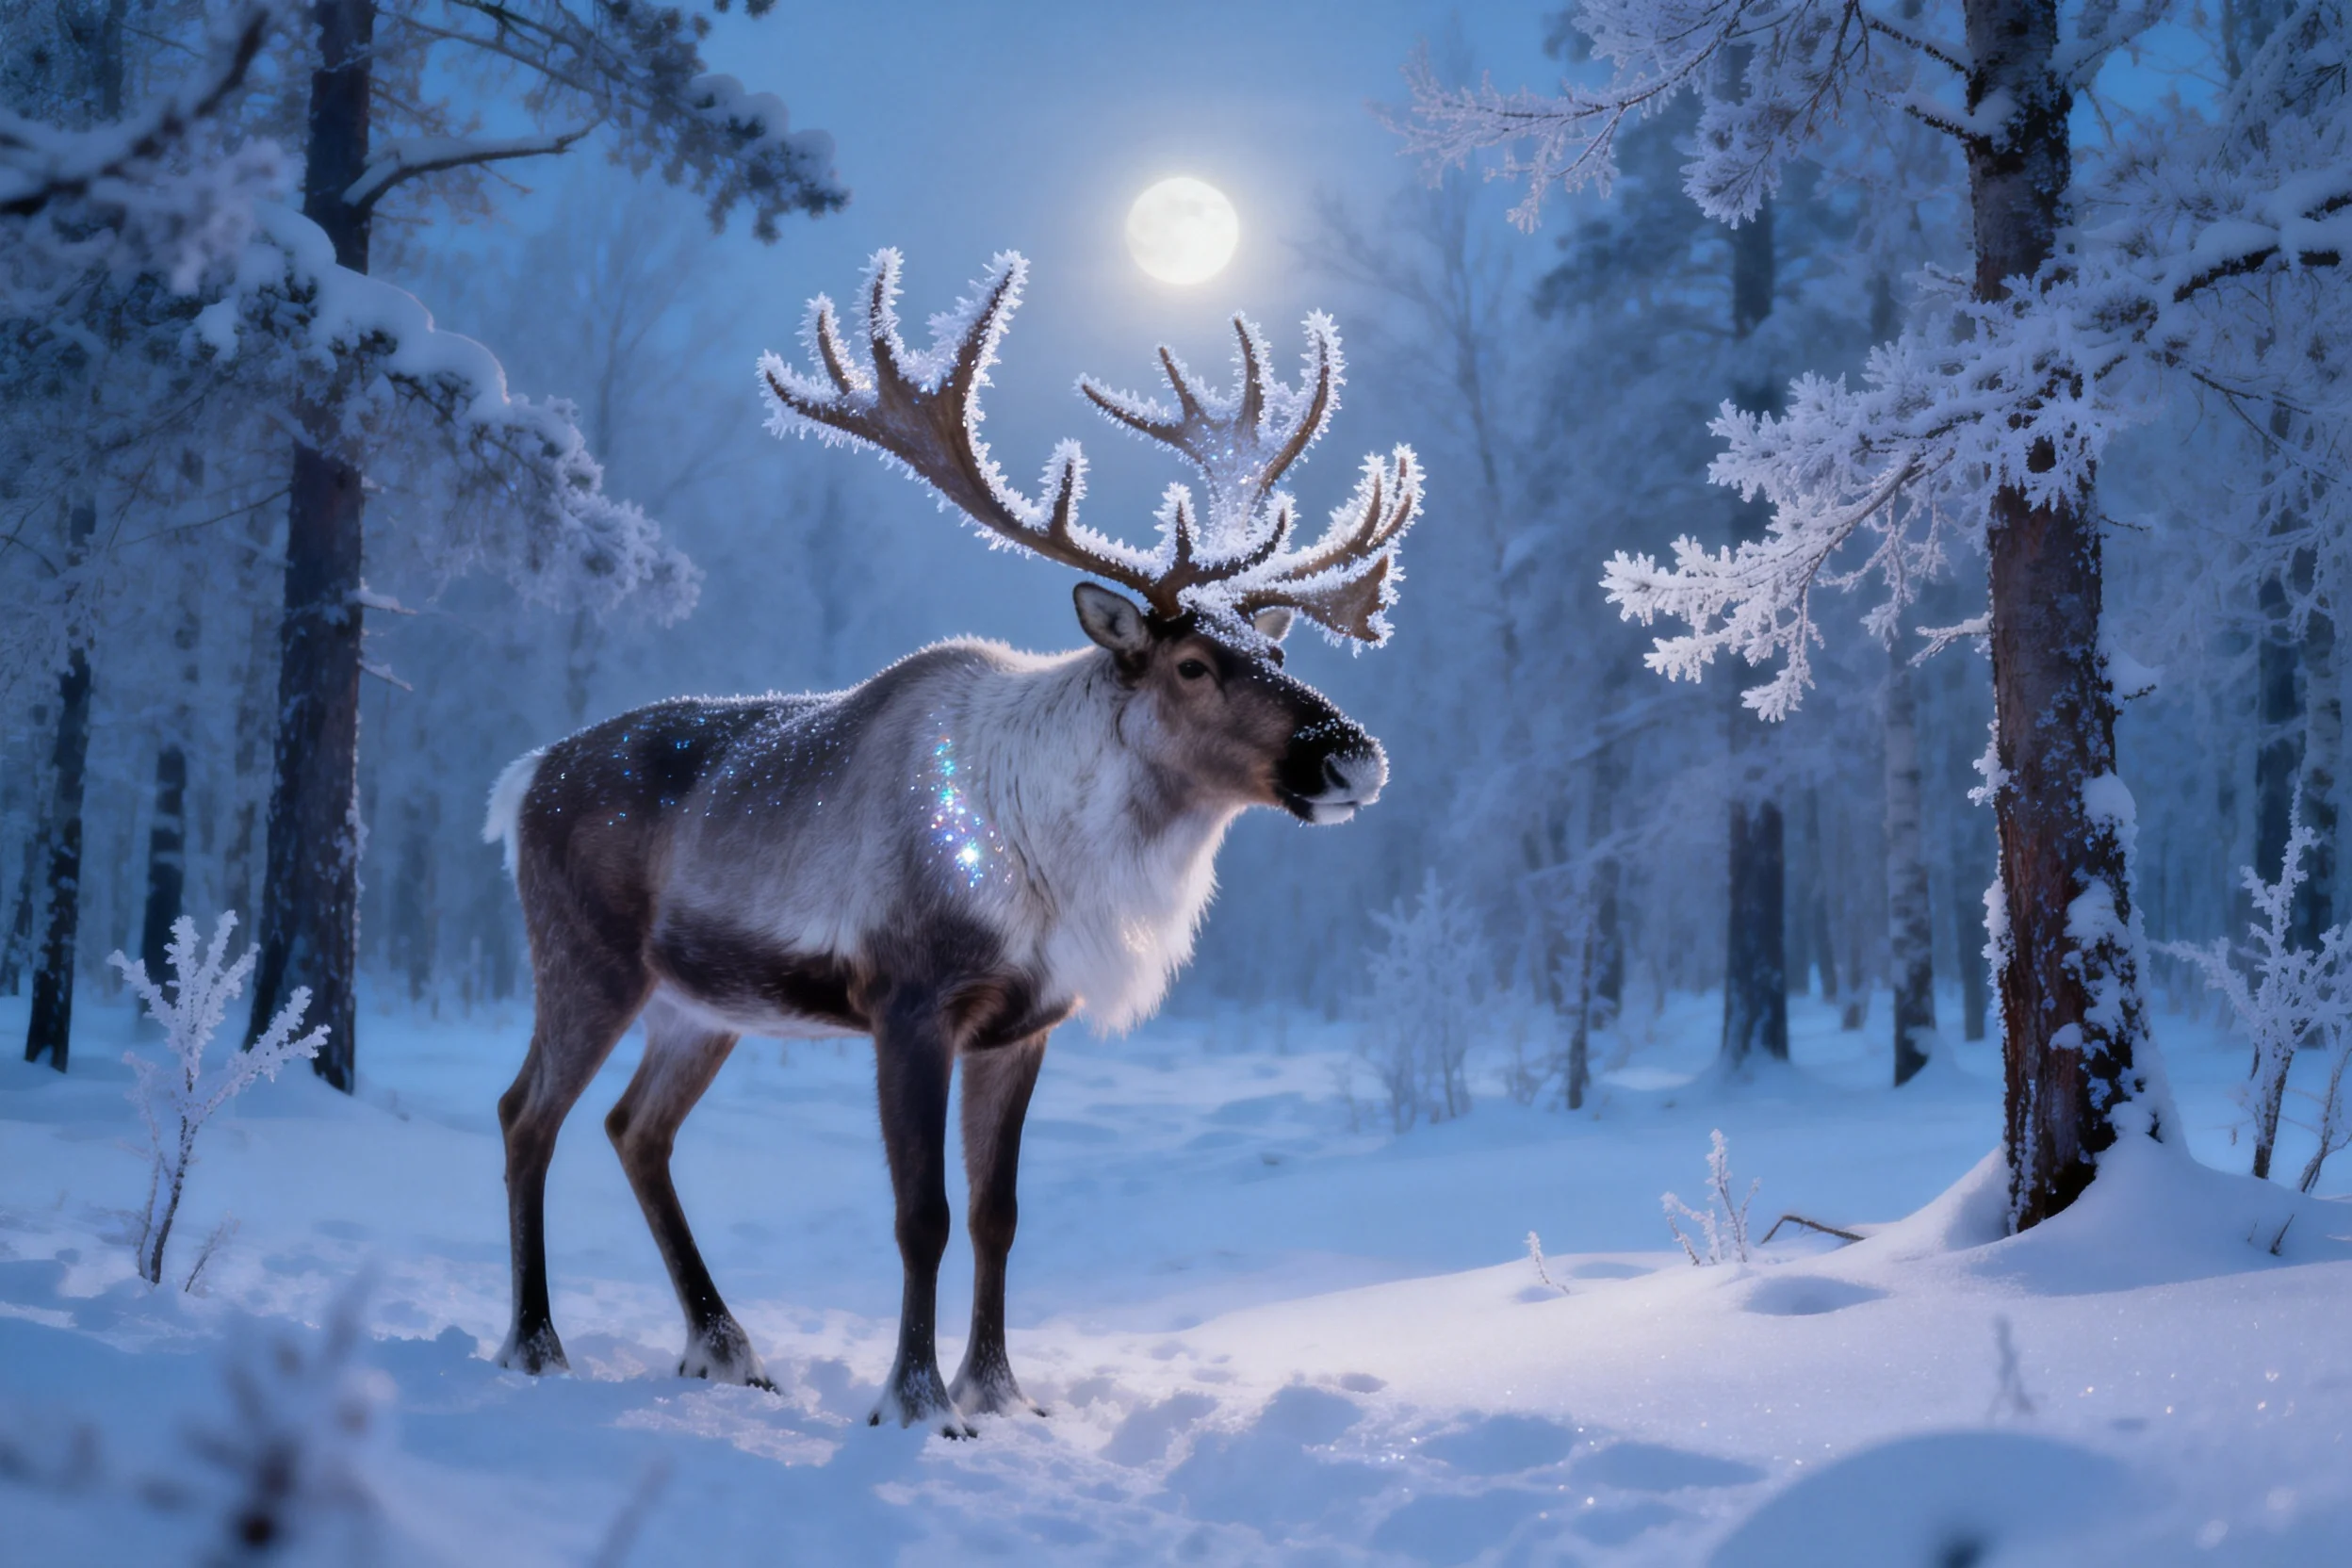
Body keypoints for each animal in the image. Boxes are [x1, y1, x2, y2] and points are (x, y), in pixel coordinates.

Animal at [482, 249, 1422, 1435]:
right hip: (585, 954)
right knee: (527, 1114)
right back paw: (534, 1343)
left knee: (633, 1127)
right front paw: (920, 1400)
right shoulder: (910, 998)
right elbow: (920, 1211)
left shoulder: (1024, 1023)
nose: (1353, 756)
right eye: (1192, 664)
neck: (1064, 860)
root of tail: (523, 776)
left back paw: (727, 1344)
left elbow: (997, 1211)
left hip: (701, 1001)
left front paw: (1004, 1390)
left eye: (1276, 648)